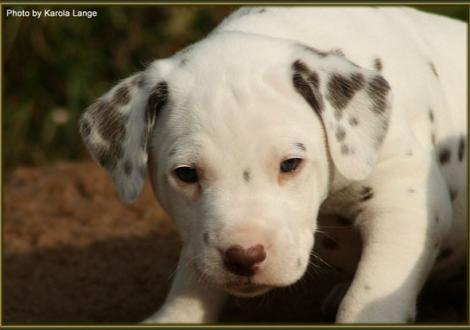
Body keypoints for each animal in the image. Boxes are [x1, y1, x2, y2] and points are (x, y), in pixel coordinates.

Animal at [78, 6, 466, 324]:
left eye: (291, 164)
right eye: (186, 174)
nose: (244, 256)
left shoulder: (404, 195)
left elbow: (369, 296)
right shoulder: (197, 237)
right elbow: (193, 277)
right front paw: (176, 314)